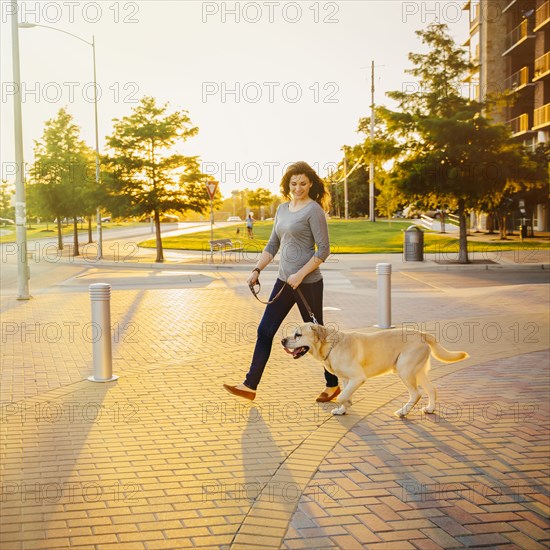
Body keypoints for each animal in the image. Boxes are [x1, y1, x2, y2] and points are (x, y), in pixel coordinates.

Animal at [284, 324, 470, 418]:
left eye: (298, 335)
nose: (282, 340)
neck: (331, 345)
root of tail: (422, 333)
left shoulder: (358, 377)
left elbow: (343, 396)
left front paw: (347, 404)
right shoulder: (347, 379)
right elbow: (344, 394)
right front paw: (342, 410)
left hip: (405, 370)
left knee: (416, 394)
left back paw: (403, 412)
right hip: (418, 371)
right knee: (432, 389)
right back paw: (430, 408)